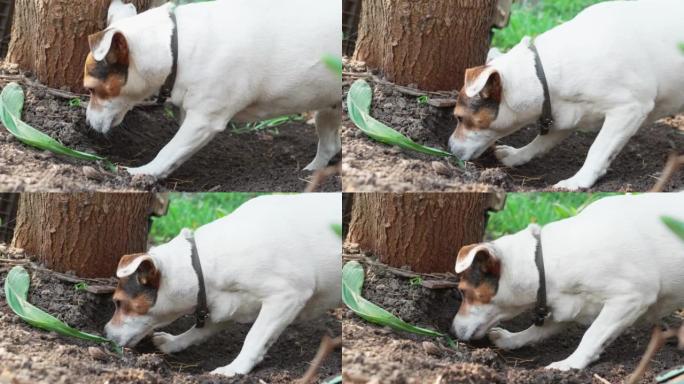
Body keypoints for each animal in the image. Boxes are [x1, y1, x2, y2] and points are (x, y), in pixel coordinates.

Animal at [85, 0, 342, 178]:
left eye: (92, 90)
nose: (86, 123)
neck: (174, 47)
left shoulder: (204, 120)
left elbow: (169, 149)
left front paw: (142, 173)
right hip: (327, 111)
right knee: (329, 146)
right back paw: (312, 171)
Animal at [103, 194, 342, 376]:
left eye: (118, 303)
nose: (104, 333)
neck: (198, 265)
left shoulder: (287, 296)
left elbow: (254, 337)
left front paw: (234, 369)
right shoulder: (224, 304)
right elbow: (201, 330)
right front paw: (174, 342)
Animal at [446, 0, 684, 189]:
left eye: (459, 118)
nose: (448, 147)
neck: (540, 75)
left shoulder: (629, 109)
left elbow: (597, 149)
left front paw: (578, 181)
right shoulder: (563, 114)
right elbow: (541, 142)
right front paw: (517, 155)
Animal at [448, 194, 684, 370]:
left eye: (463, 292)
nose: (451, 331)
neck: (540, 263)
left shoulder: (632, 297)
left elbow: (592, 333)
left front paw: (570, 364)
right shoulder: (567, 306)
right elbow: (540, 329)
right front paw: (512, 339)